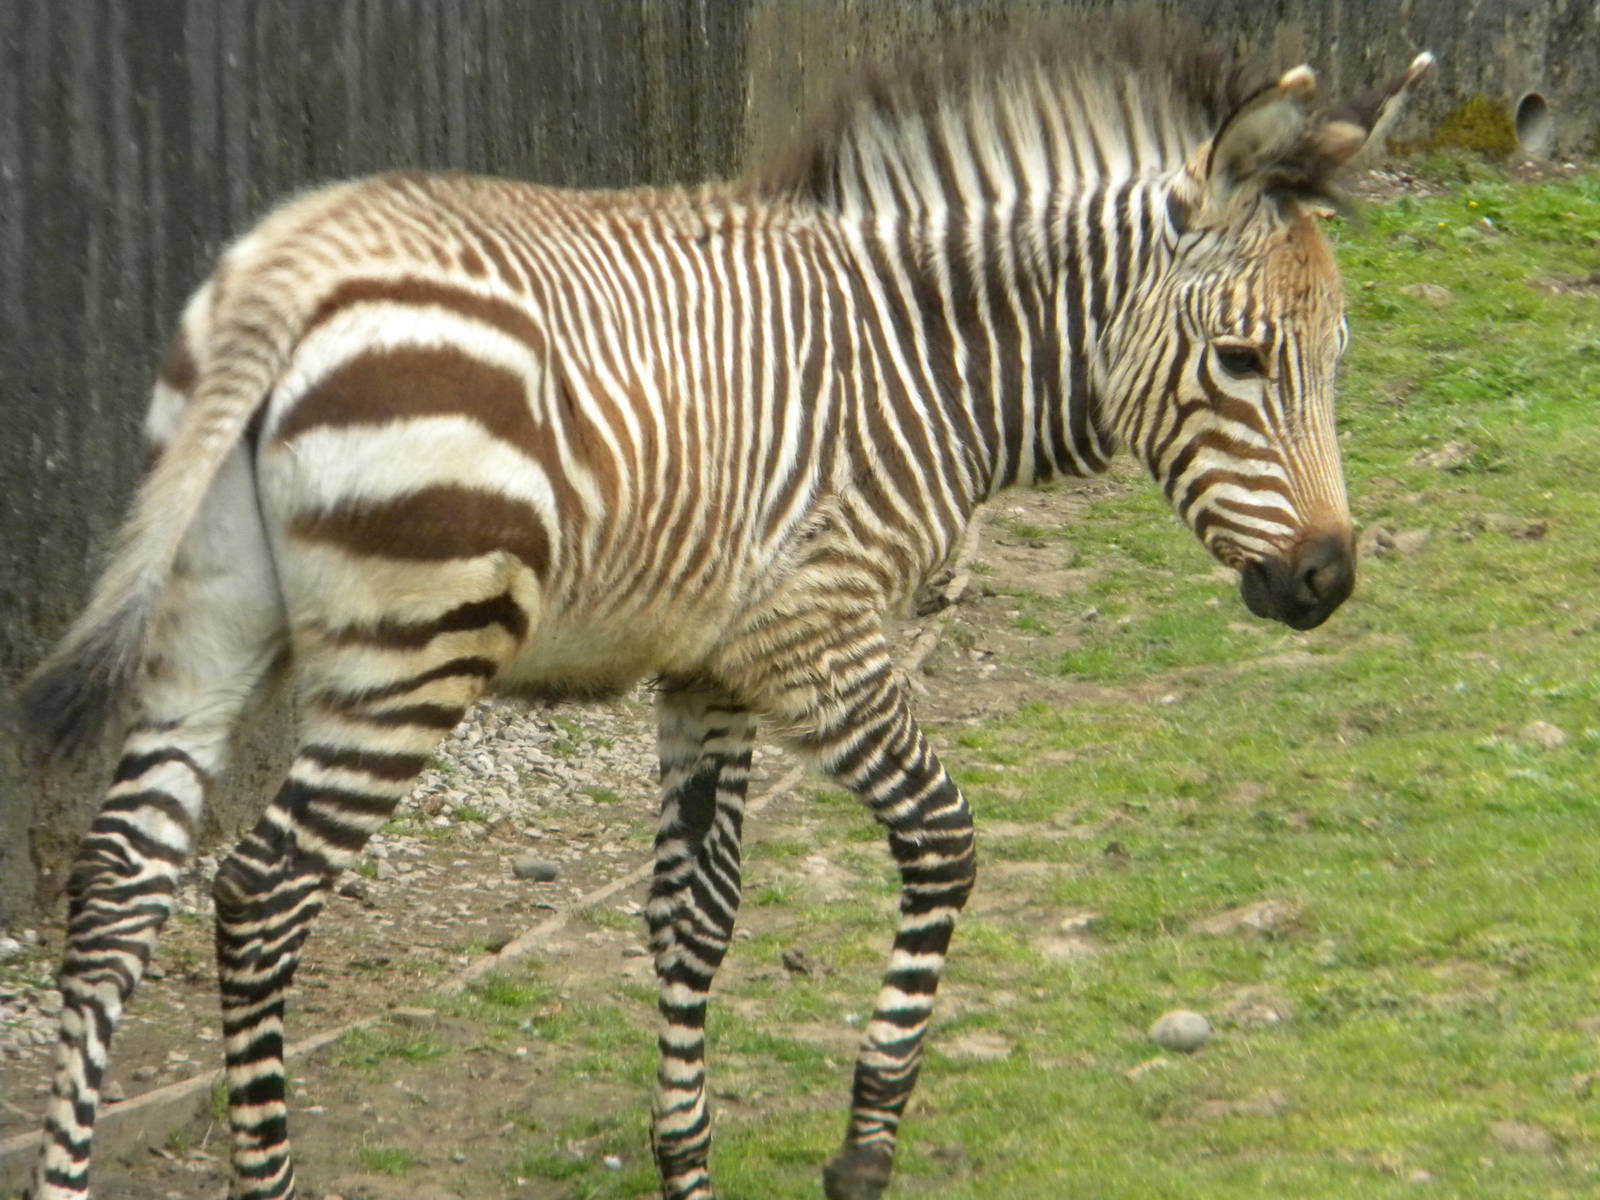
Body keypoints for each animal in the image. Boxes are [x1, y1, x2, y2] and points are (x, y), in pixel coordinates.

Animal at [15, 18, 1433, 1200]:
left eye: (1336, 360)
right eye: (1241, 360)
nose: (1326, 580)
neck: (916, 355)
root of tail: (286, 274)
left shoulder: (707, 668)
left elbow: (693, 914)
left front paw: (685, 1164)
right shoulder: (815, 638)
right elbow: (943, 842)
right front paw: (863, 1147)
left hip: (205, 625)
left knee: (121, 887)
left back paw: (68, 1174)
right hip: (410, 655)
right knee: (259, 898)